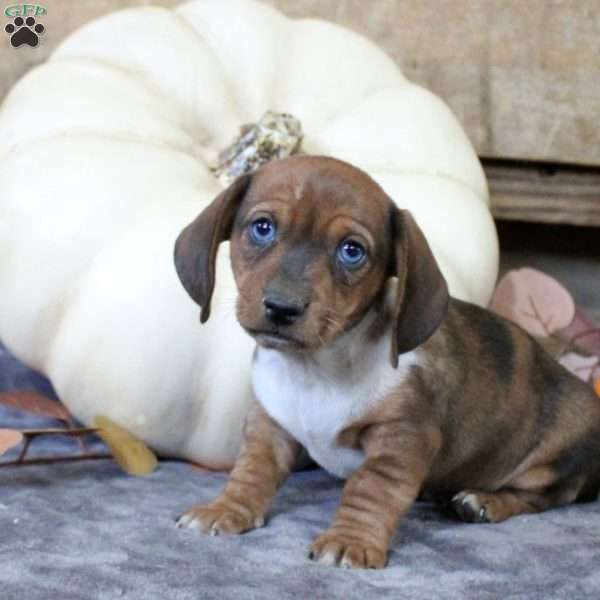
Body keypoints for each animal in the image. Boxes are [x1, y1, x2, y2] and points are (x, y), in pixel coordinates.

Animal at [172, 154, 600, 568]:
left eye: (352, 250)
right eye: (262, 228)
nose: (282, 308)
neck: (315, 368)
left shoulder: (401, 440)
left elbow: (371, 490)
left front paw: (351, 540)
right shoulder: (270, 424)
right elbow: (252, 470)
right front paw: (226, 509)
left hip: (552, 460)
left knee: (540, 498)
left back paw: (484, 501)